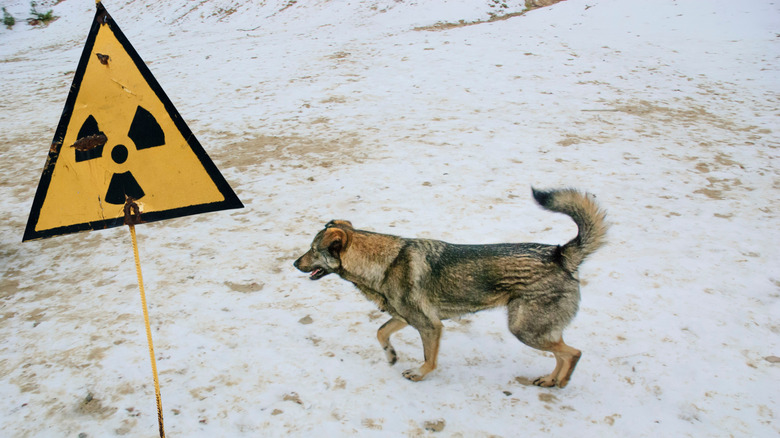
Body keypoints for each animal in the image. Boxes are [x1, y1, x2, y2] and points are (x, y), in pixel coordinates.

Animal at [292, 187, 604, 386]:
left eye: (312, 250)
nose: (294, 263)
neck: (385, 262)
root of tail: (560, 254)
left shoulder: (430, 325)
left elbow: (429, 359)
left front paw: (419, 374)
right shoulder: (405, 316)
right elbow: (381, 332)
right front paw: (391, 355)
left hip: (525, 329)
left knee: (573, 352)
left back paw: (561, 382)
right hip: (536, 329)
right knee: (562, 352)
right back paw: (550, 380)